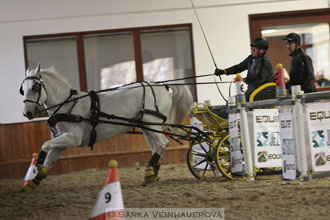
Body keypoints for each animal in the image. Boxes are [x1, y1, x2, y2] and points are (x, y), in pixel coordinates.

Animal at [19, 65, 193, 191]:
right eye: (22, 89)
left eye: (35, 87)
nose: (27, 113)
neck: (68, 105)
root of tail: (162, 85)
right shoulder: (61, 141)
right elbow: (49, 161)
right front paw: (32, 183)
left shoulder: (72, 138)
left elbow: (44, 145)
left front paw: (37, 164)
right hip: (146, 126)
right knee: (157, 147)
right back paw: (152, 174)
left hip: (151, 123)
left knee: (162, 144)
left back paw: (150, 171)